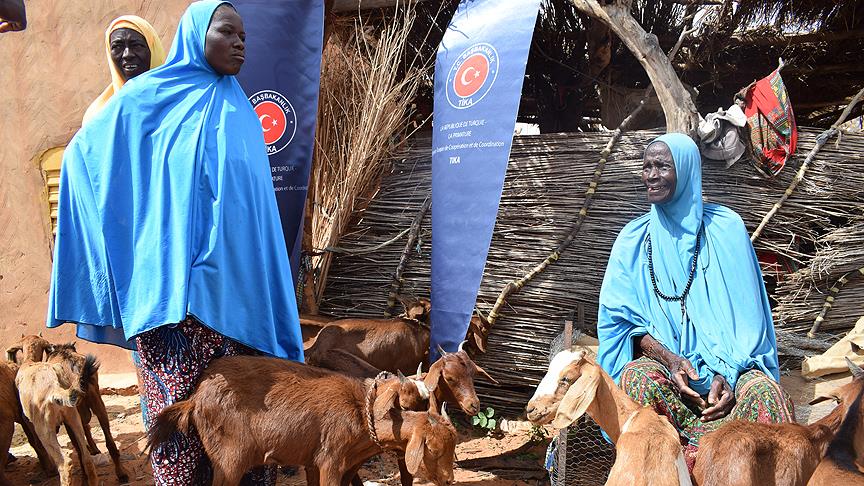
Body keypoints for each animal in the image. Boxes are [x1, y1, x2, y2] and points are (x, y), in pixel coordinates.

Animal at [17, 354, 101, 486]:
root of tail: (54, 386)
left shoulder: (29, 421)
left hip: (44, 430)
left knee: (64, 463)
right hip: (73, 418)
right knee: (86, 457)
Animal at [147, 354, 460, 486]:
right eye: (433, 449)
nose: (448, 480)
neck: (361, 413)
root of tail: (195, 397)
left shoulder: (317, 462)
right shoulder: (331, 461)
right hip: (229, 459)